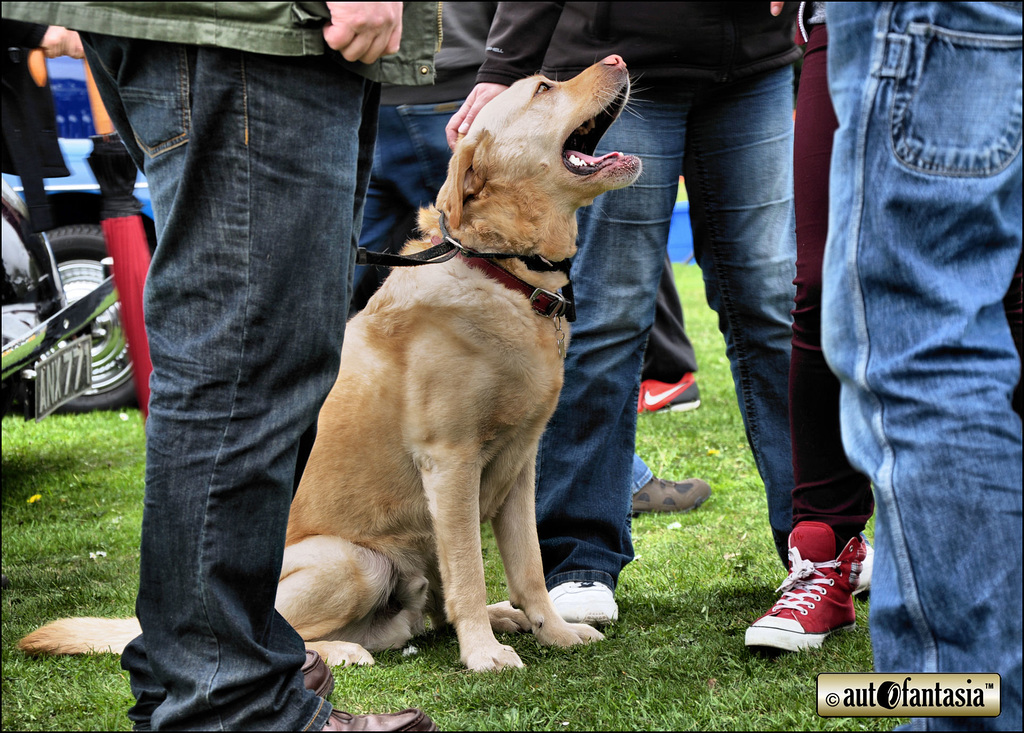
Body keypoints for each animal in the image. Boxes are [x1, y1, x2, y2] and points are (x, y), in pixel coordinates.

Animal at [18, 55, 638, 675]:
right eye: (543, 88)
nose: (617, 59)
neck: (502, 273)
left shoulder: (520, 466)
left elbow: (529, 569)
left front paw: (555, 632)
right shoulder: (451, 462)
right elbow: (469, 570)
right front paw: (483, 653)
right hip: (354, 562)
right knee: (294, 633)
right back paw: (338, 652)